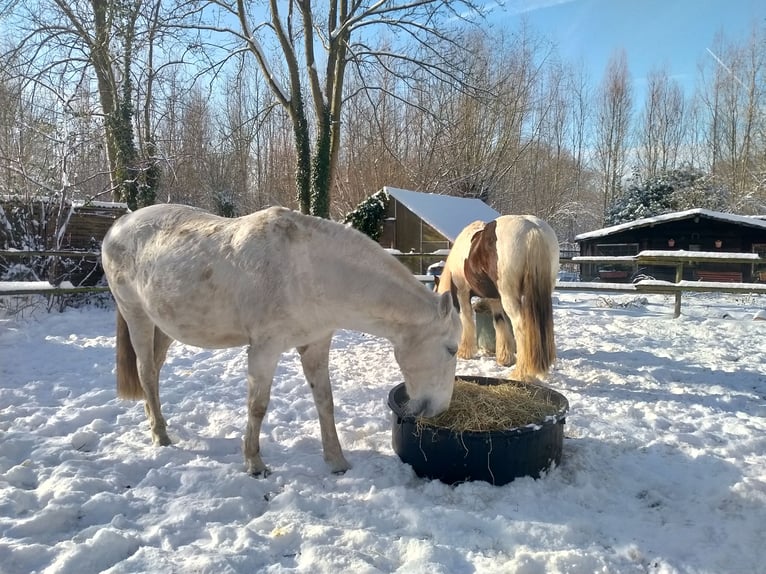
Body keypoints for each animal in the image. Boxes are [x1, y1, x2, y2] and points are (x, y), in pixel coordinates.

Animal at [102, 204, 462, 476]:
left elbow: (325, 402)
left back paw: (157, 422)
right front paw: (254, 464)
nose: (440, 409)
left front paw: (337, 461)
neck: (310, 272)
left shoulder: (316, 345)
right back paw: (160, 435)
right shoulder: (264, 349)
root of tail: (118, 226)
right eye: (451, 349)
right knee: (146, 371)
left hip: (163, 327)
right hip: (137, 316)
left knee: (154, 371)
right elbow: (258, 406)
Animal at [438, 216, 560, 382]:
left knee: (521, 326)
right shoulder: (494, 298)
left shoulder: (463, 293)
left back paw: (521, 373)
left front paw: (465, 351)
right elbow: (499, 322)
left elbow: (467, 319)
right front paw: (505, 358)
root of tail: (532, 229)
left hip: (509, 297)